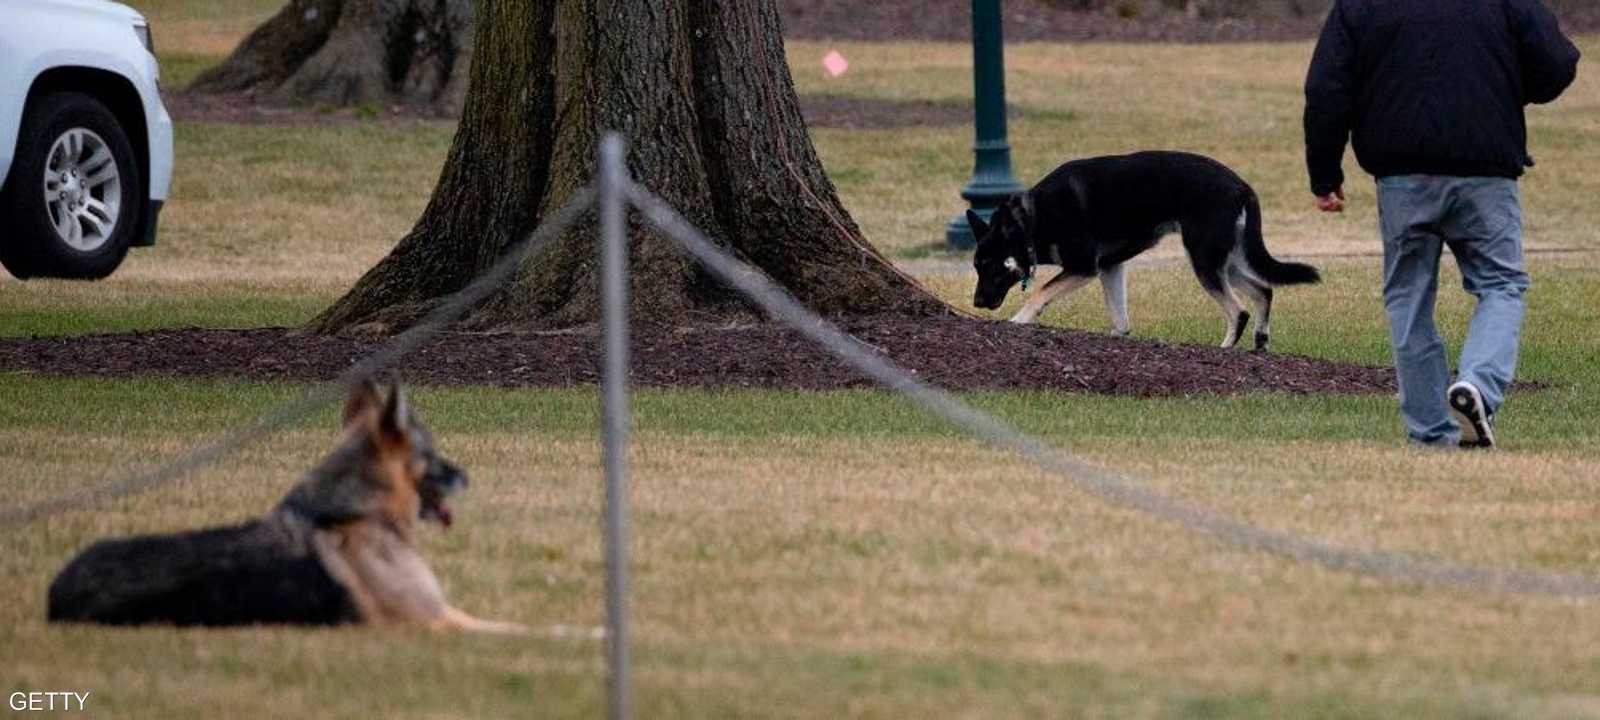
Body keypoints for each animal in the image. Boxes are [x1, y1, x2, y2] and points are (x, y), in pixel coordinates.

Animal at [48, 379, 524, 633]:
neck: (352, 512)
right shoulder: (432, 621)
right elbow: (513, 629)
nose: (467, 476)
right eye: (433, 453)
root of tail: (55, 598)